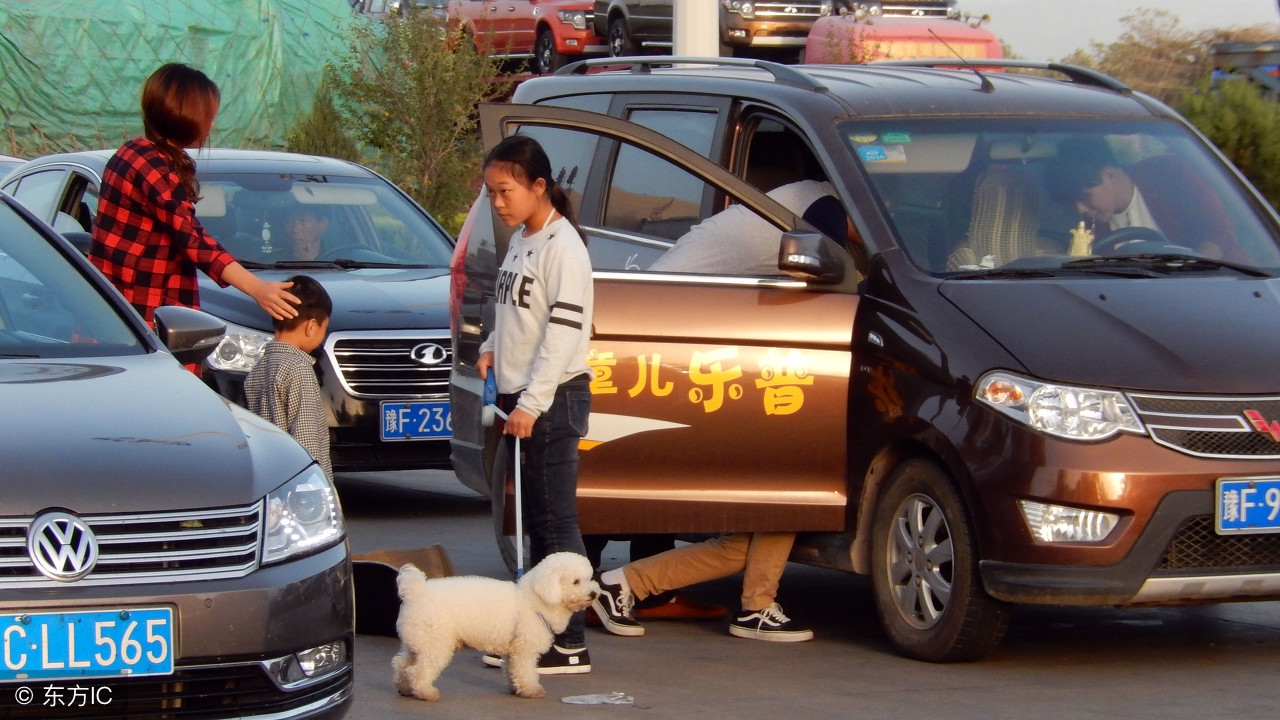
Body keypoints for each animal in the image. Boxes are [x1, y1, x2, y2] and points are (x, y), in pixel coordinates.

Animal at [391, 548, 596, 696]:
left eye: (589, 579)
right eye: (576, 581)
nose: (594, 593)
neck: (536, 598)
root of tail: (417, 592)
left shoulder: (514, 650)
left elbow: (513, 669)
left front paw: (516, 688)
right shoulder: (524, 650)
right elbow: (525, 670)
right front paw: (531, 690)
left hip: (418, 642)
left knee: (402, 664)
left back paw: (405, 688)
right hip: (435, 643)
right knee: (418, 671)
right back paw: (426, 692)